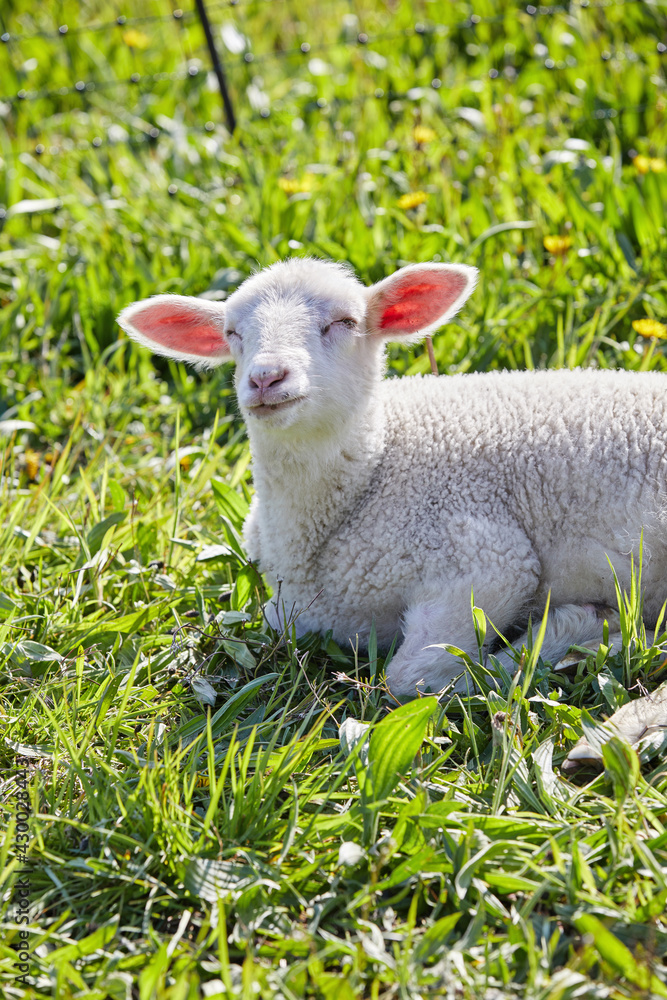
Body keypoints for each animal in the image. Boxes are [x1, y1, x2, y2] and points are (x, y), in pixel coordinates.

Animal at [117, 258, 667, 712]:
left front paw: (581, 630)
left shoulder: (485, 559)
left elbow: (415, 678)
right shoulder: (298, 611)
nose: (266, 378)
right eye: (233, 333)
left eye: (344, 322)